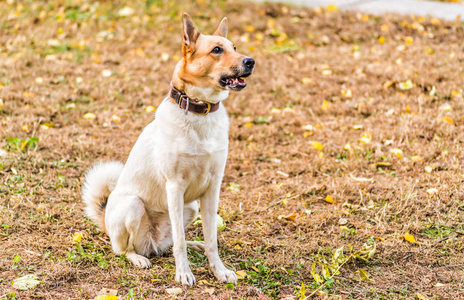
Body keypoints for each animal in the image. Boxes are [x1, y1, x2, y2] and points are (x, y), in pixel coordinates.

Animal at [83, 12, 256, 286]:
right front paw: (183, 273)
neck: (200, 112)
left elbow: (211, 239)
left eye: (235, 48)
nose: (250, 62)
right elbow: (180, 244)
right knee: (125, 249)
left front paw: (218, 270)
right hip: (133, 206)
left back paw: (192, 244)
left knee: (171, 242)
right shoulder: (175, 186)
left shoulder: (213, 188)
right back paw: (138, 258)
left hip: (191, 207)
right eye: (217, 50)